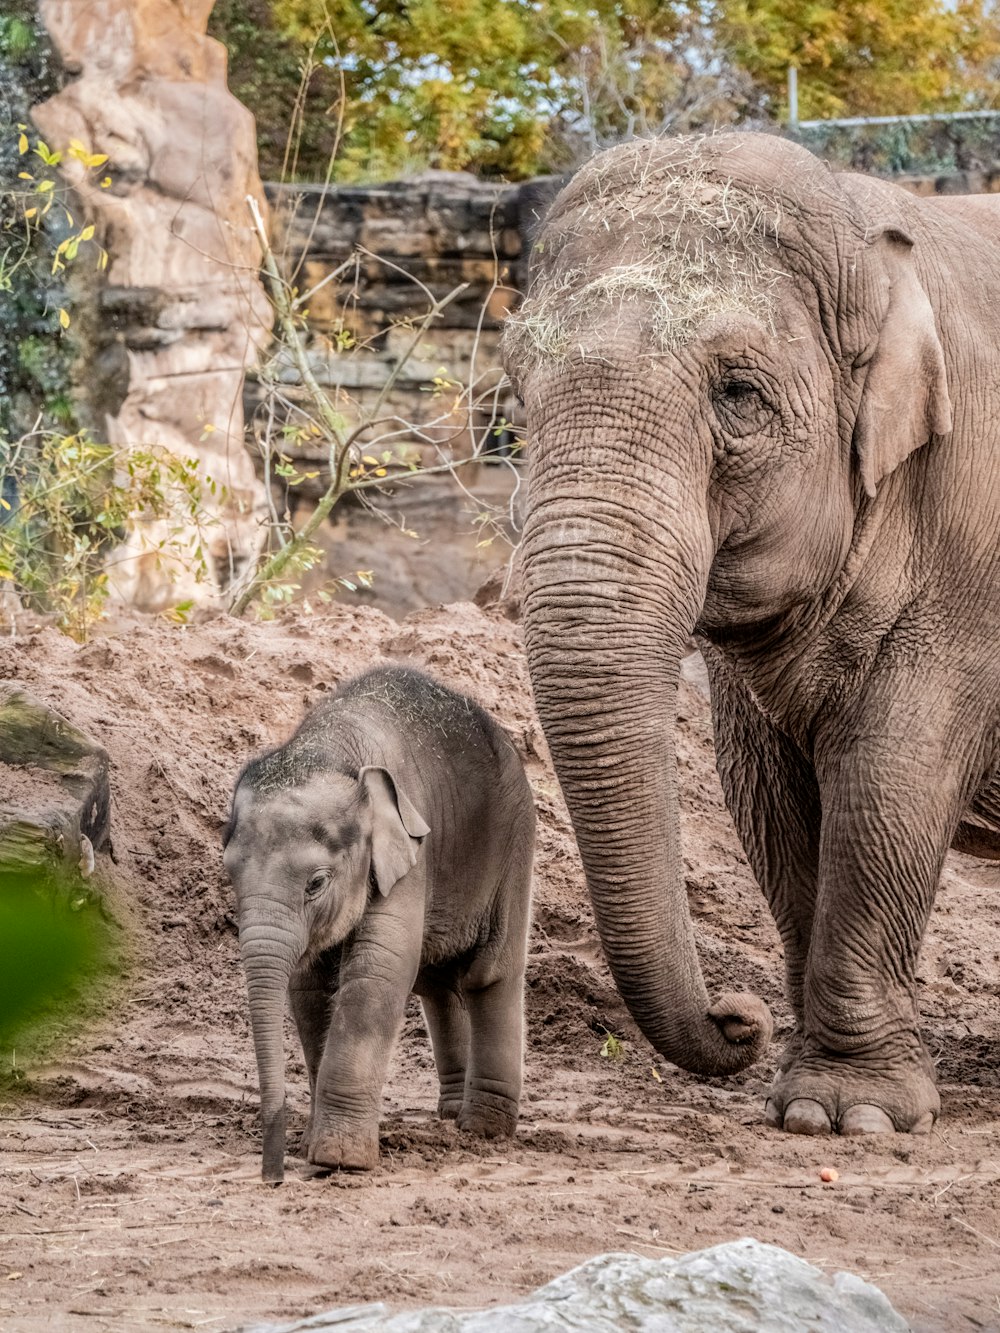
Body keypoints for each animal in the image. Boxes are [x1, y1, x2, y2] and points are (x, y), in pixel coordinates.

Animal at [222, 663, 536, 1178]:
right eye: (229, 872)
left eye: (316, 883)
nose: (273, 1176)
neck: (330, 749)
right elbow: (308, 987)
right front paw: (312, 1145)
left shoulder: (409, 854)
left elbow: (378, 970)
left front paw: (339, 1160)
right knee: (437, 983)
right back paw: (450, 1114)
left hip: (514, 843)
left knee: (489, 975)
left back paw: (482, 1130)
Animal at [504, 132, 1000, 1135]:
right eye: (516, 390)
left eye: (738, 393)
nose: (740, 1017)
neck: (870, 225)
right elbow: (766, 796)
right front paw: (805, 1097)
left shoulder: (972, 553)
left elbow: (892, 776)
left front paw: (849, 1114)